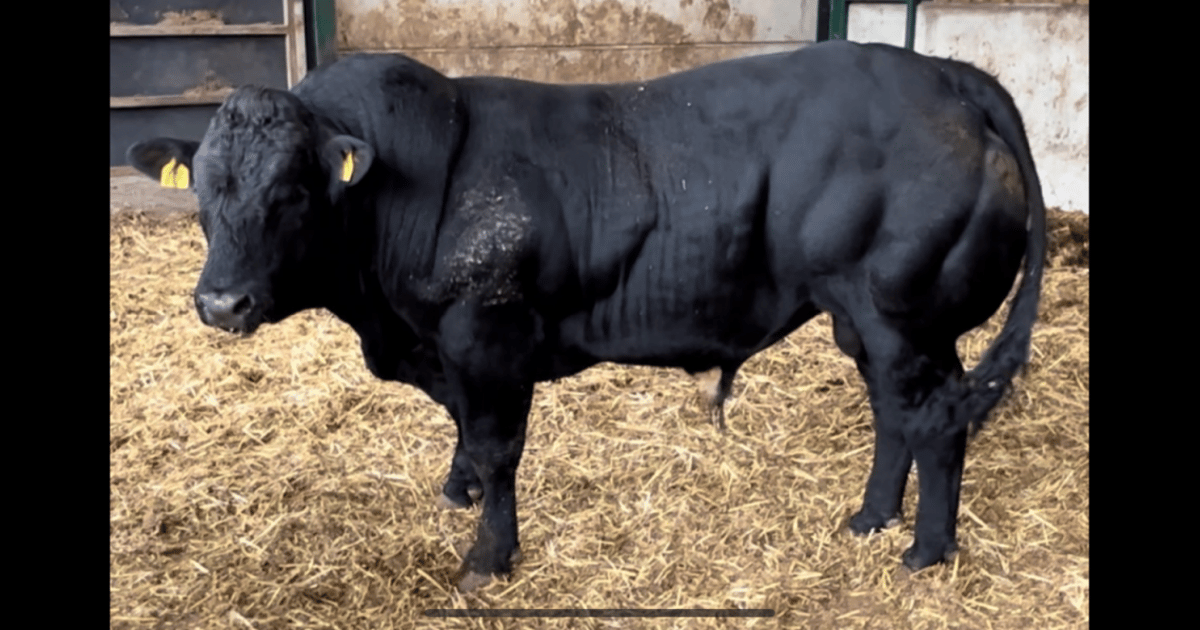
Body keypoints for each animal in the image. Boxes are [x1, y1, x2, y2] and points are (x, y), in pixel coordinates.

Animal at [127, 39, 1045, 592]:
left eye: (291, 192)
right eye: (203, 189)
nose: (221, 302)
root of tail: (943, 73)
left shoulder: (486, 335)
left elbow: (496, 448)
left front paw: (487, 557)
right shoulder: (448, 351)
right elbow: (463, 434)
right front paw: (456, 492)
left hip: (903, 317)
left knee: (935, 421)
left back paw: (923, 550)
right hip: (871, 322)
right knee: (895, 415)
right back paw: (869, 519)